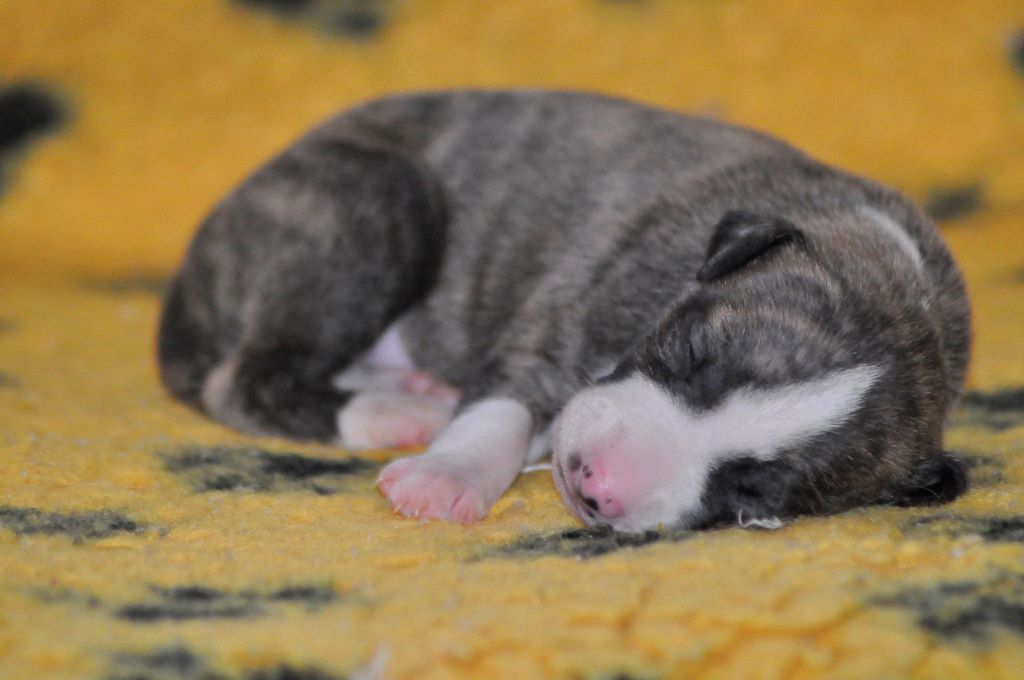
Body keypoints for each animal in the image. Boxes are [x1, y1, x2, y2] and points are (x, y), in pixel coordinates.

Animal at [158, 89, 971, 532]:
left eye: (754, 494)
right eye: (691, 352)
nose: (594, 484)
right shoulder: (552, 330)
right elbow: (499, 410)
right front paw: (446, 475)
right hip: (376, 202)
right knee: (244, 379)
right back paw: (397, 413)